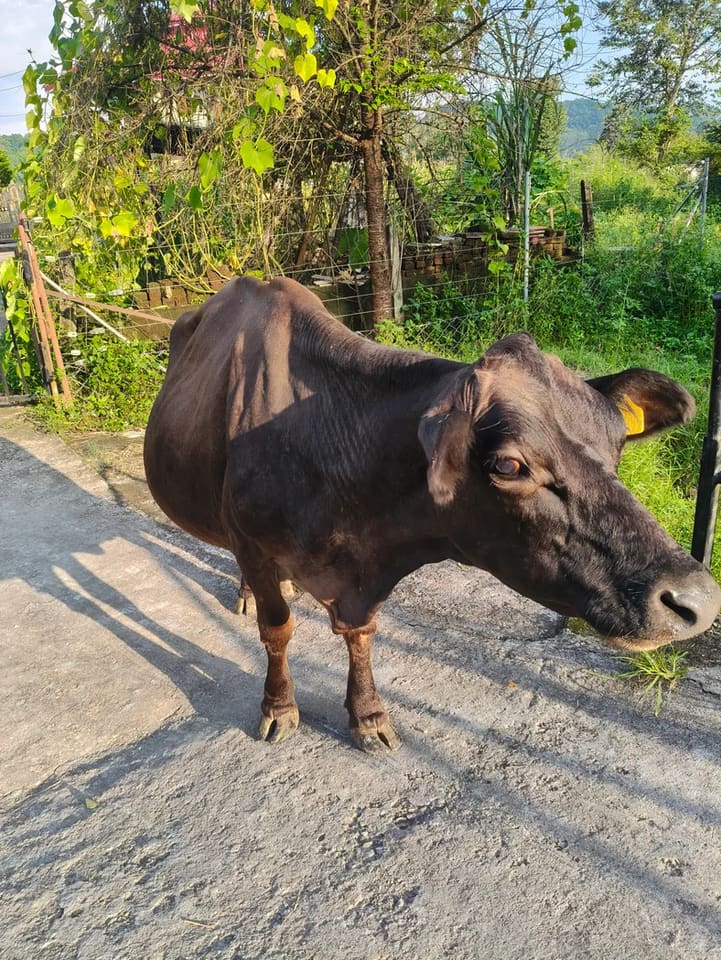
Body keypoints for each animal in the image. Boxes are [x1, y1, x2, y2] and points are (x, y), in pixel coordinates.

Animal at [144, 275, 721, 753]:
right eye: (509, 464)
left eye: (618, 444)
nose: (697, 599)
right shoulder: (257, 545)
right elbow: (278, 630)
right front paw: (279, 707)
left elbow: (361, 635)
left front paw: (368, 716)